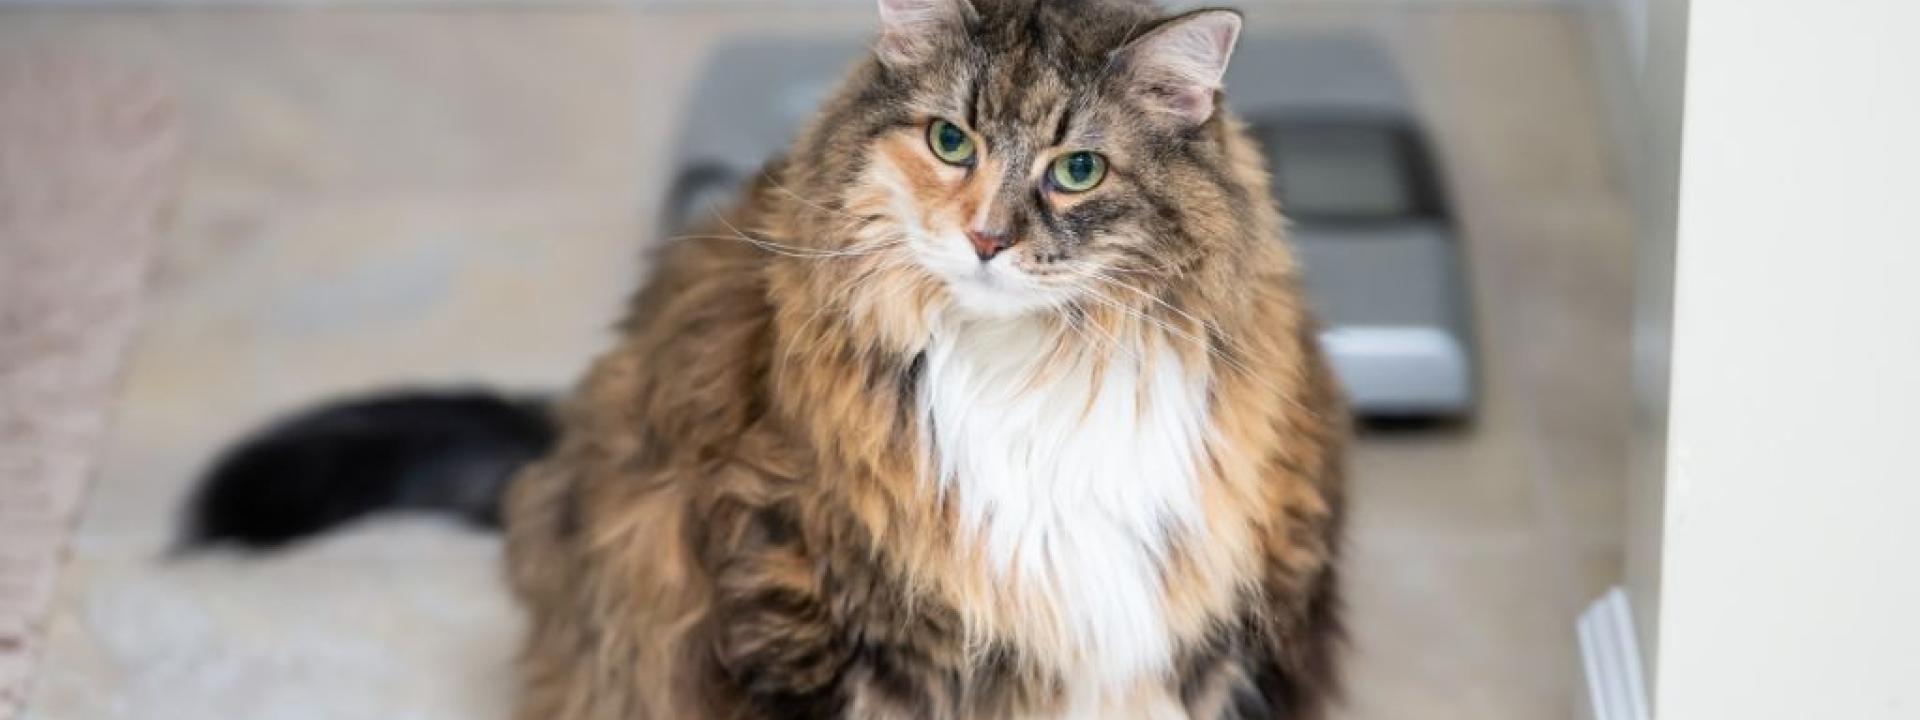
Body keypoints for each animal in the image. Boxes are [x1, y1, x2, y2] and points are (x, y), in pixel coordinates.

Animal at [183, 1, 1351, 720]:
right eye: (951, 143)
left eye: (1076, 170)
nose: (985, 239)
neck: (1031, 377)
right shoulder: (793, 593)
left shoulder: (1201, 640)